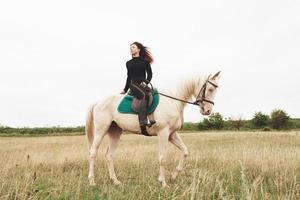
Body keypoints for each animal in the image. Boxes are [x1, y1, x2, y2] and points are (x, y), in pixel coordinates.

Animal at [84, 70, 220, 188]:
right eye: (210, 89)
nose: (208, 111)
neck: (172, 101)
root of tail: (98, 102)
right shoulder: (163, 133)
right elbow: (162, 158)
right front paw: (163, 183)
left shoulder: (172, 134)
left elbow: (185, 152)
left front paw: (174, 176)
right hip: (101, 130)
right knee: (93, 153)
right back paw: (92, 181)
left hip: (115, 132)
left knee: (109, 155)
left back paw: (115, 181)